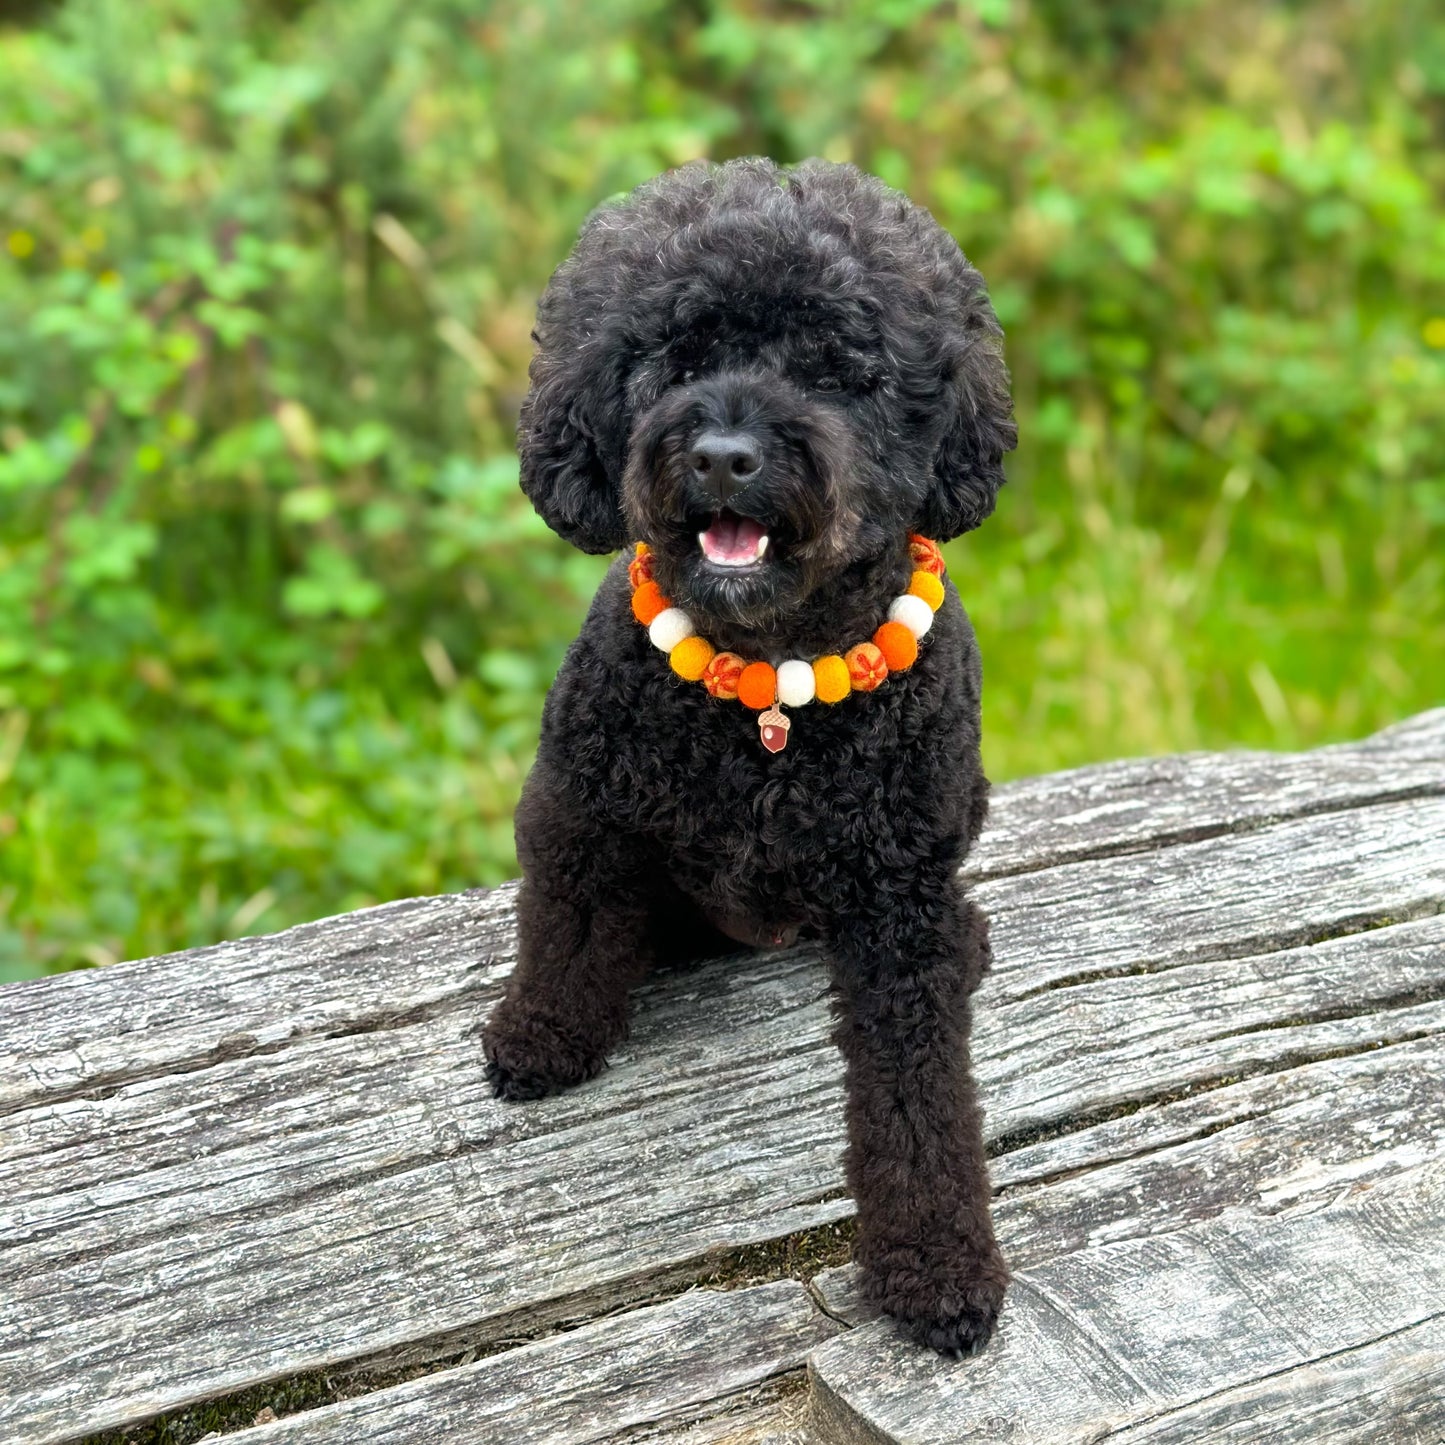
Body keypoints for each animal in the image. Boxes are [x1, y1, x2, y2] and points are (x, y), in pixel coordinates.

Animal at [485, 158, 1017, 1352]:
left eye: (836, 371)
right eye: (677, 361)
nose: (724, 453)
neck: (769, 692)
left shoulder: (897, 911)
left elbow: (919, 1105)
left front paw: (936, 1266)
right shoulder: (581, 811)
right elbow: (563, 931)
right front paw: (541, 1035)